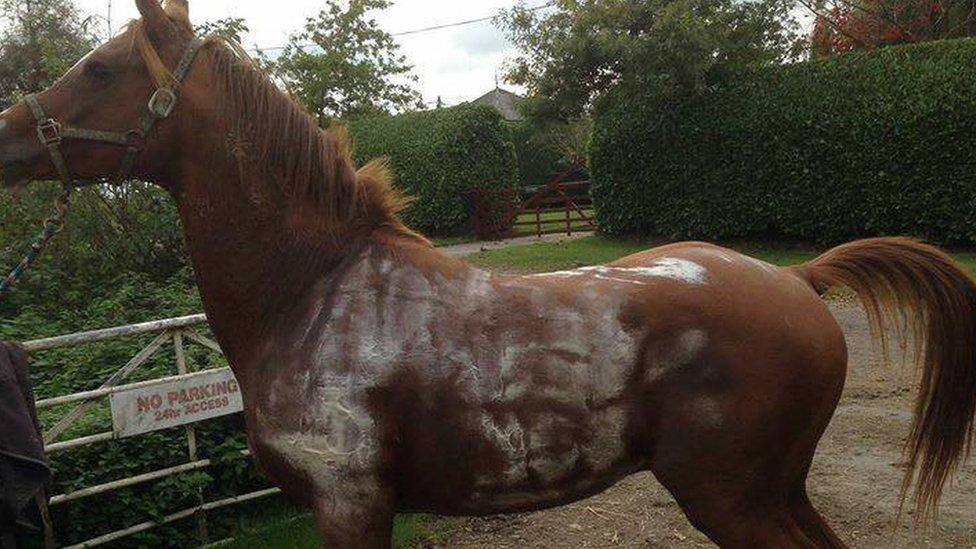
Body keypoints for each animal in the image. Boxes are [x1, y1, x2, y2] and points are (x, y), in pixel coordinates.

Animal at [1, 1, 974, 546]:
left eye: (100, 67)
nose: (8, 133)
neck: (313, 291)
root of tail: (799, 280)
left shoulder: (349, 505)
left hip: (734, 497)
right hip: (778, 489)